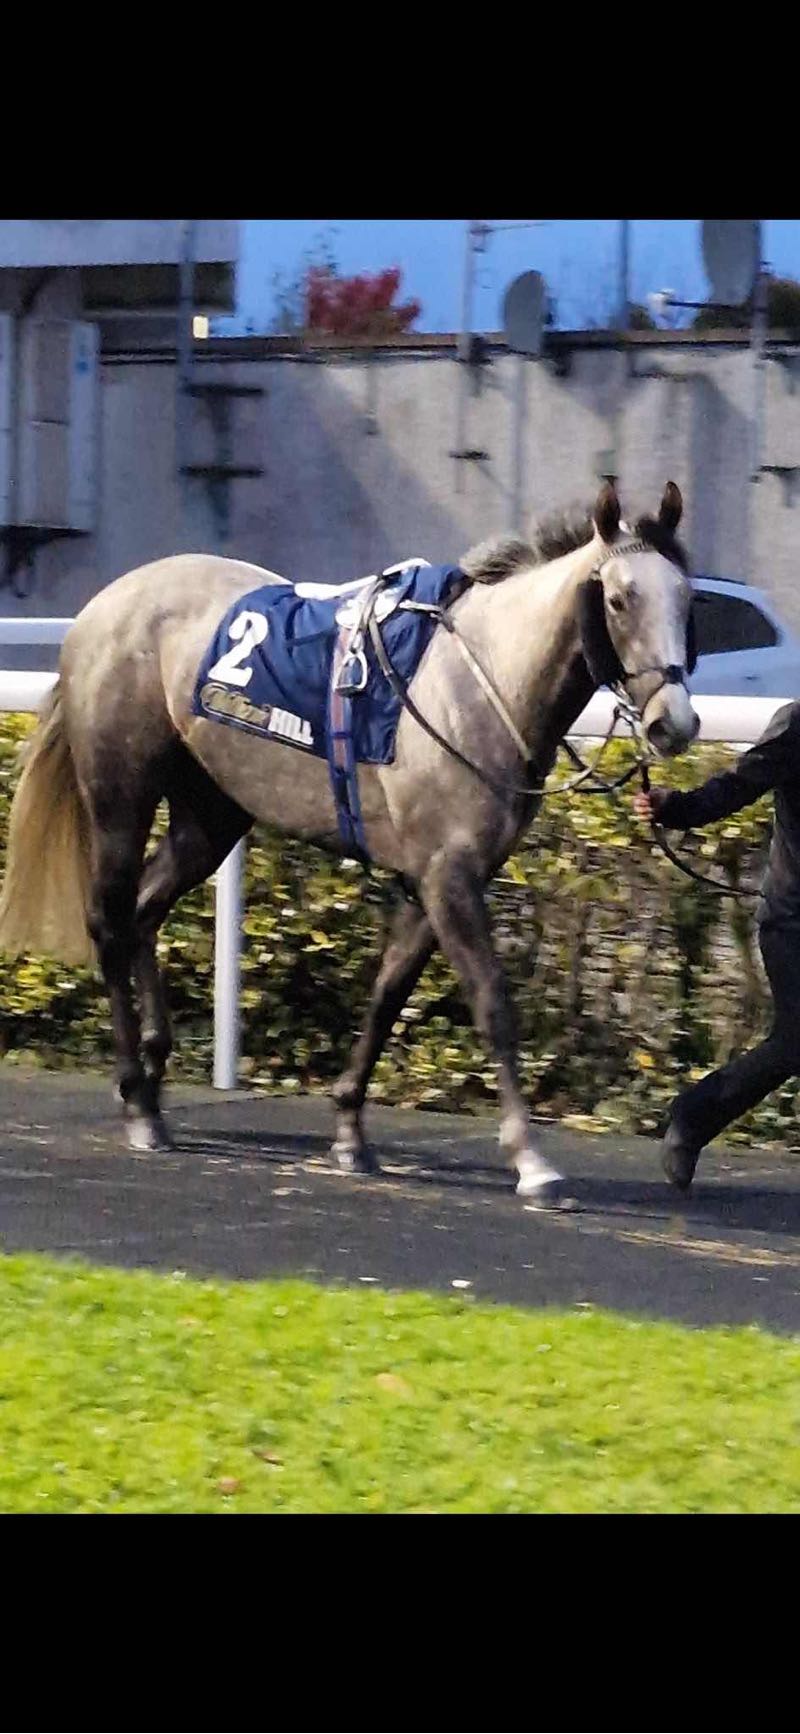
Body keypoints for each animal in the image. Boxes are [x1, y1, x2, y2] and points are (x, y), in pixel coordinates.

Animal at [0, 480, 698, 1206]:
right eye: (619, 599)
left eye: (688, 598)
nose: (673, 724)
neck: (483, 684)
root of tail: (101, 606)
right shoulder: (449, 875)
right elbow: (492, 1003)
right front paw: (530, 1158)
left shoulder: (433, 878)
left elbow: (389, 992)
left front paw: (349, 1129)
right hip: (120, 795)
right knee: (110, 921)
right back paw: (138, 1098)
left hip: (211, 814)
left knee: (144, 911)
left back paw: (156, 1071)